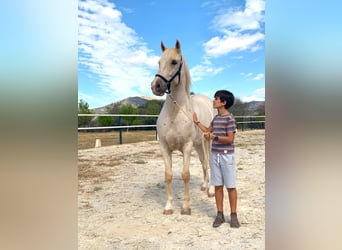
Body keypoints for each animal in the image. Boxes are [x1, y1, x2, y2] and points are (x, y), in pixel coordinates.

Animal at [150, 39, 214, 215]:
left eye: (174, 62)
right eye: (159, 62)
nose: (156, 86)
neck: (175, 113)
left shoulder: (187, 146)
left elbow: (186, 175)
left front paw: (185, 207)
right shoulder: (164, 147)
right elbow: (168, 175)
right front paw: (168, 207)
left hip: (208, 141)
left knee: (210, 162)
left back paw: (211, 190)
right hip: (199, 144)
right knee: (204, 162)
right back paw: (204, 186)